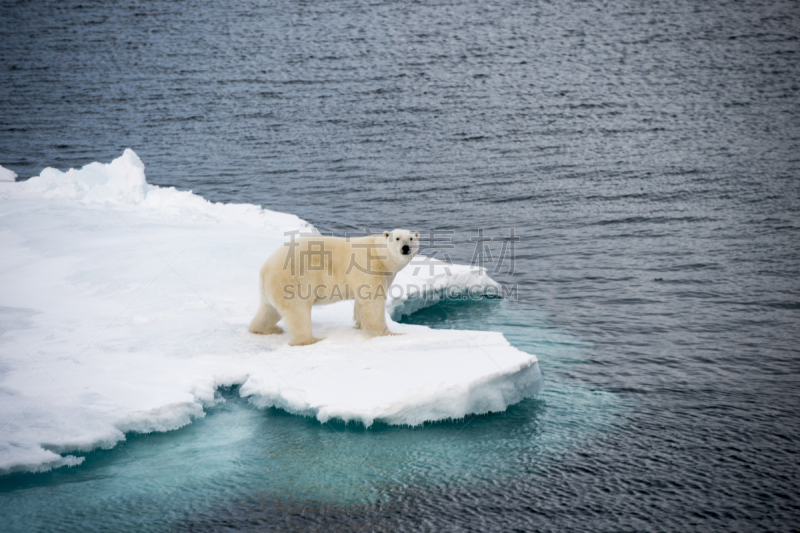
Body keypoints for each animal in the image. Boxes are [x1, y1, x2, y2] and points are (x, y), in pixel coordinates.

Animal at [250, 229, 418, 344]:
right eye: (397, 238)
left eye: (411, 238)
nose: (405, 247)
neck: (380, 256)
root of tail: (264, 269)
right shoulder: (368, 267)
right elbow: (373, 302)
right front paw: (389, 334)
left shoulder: (385, 274)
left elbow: (361, 301)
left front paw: (359, 324)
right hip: (292, 281)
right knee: (297, 311)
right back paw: (312, 340)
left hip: (272, 288)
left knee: (269, 311)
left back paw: (267, 329)